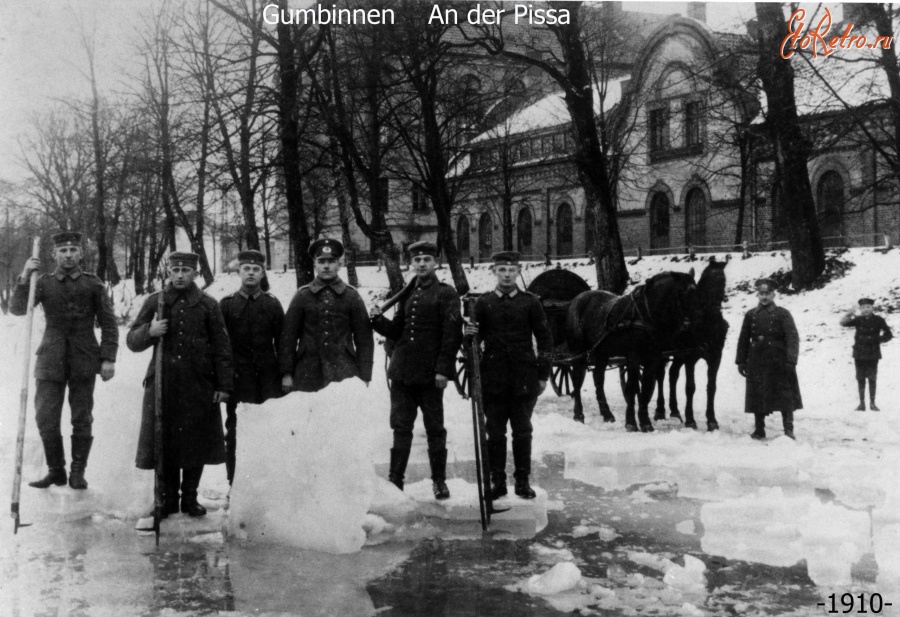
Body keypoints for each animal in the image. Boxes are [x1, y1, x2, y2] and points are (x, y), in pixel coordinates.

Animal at [568, 270, 700, 434]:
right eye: (682, 293)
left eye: (696, 292)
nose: (694, 325)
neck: (646, 313)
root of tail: (577, 299)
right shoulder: (633, 357)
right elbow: (632, 387)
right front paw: (631, 423)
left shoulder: (653, 358)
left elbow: (646, 387)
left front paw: (645, 423)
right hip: (578, 352)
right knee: (577, 381)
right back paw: (578, 414)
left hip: (601, 353)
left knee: (598, 378)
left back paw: (607, 414)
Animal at [652, 258, 732, 430]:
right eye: (708, 280)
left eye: (723, 281)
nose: (714, 308)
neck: (707, 323)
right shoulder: (690, 357)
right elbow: (690, 387)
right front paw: (690, 420)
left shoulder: (715, 357)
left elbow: (711, 387)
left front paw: (712, 420)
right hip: (663, 354)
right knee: (660, 375)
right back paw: (660, 410)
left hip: (678, 355)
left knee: (673, 375)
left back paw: (675, 411)